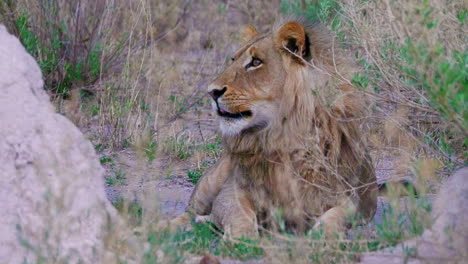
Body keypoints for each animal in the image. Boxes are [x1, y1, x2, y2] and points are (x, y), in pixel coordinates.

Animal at [170, 17, 378, 238]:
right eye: (233, 59)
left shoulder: (350, 200)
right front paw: (243, 238)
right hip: (210, 183)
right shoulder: (231, 191)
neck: (282, 134)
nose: (211, 91)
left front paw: (321, 236)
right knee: (188, 213)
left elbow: (338, 215)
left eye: (255, 62)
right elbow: (238, 214)